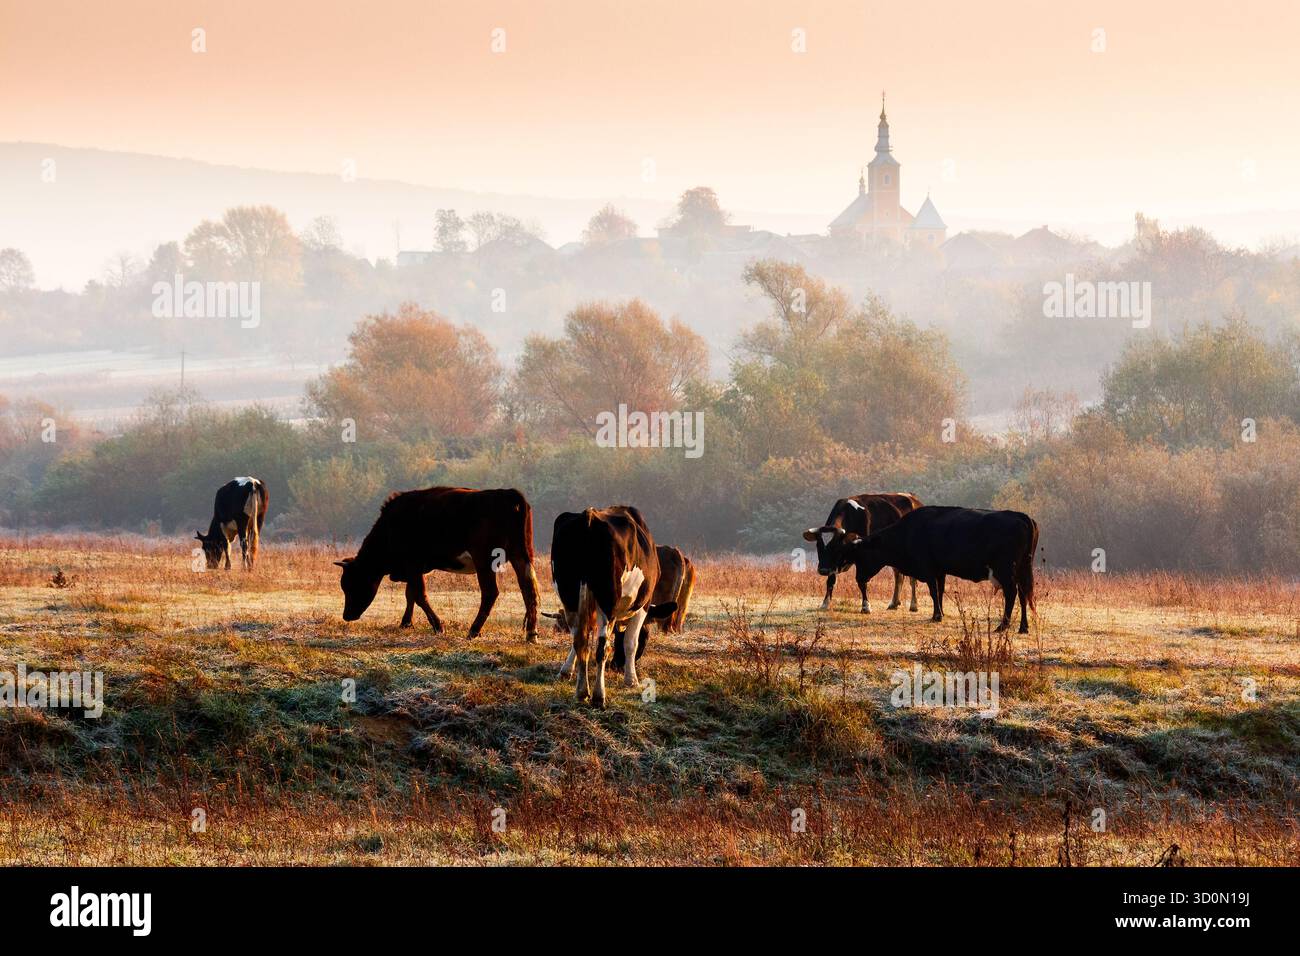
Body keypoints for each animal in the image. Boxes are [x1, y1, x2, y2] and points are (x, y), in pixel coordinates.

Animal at [333, 486, 540, 641]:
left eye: (352, 585)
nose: (347, 615)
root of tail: (507, 493)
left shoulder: (412, 564)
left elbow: (419, 595)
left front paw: (438, 626)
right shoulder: (414, 568)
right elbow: (410, 594)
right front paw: (406, 622)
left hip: (485, 559)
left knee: (490, 593)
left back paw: (473, 630)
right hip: (522, 555)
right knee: (529, 590)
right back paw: (531, 634)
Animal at [548, 506, 676, 708]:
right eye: (646, 636)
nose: (616, 665)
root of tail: (589, 516)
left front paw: (566, 670)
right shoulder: (643, 605)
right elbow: (631, 642)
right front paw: (631, 680)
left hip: (570, 597)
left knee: (579, 639)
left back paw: (581, 692)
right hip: (607, 600)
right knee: (601, 647)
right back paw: (598, 696)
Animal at [843, 505, 1038, 633]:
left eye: (861, 556)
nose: (859, 578)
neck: (908, 532)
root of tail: (1021, 516)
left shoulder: (928, 570)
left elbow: (933, 592)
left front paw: (937, 615)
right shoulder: (940, 571)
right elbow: (940, 590)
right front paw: (941, 613)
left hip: (1006, 570)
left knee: (1012, 594)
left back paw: (1003, 626)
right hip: (1022, 570)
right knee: (1023, 595)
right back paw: (1023, 627)